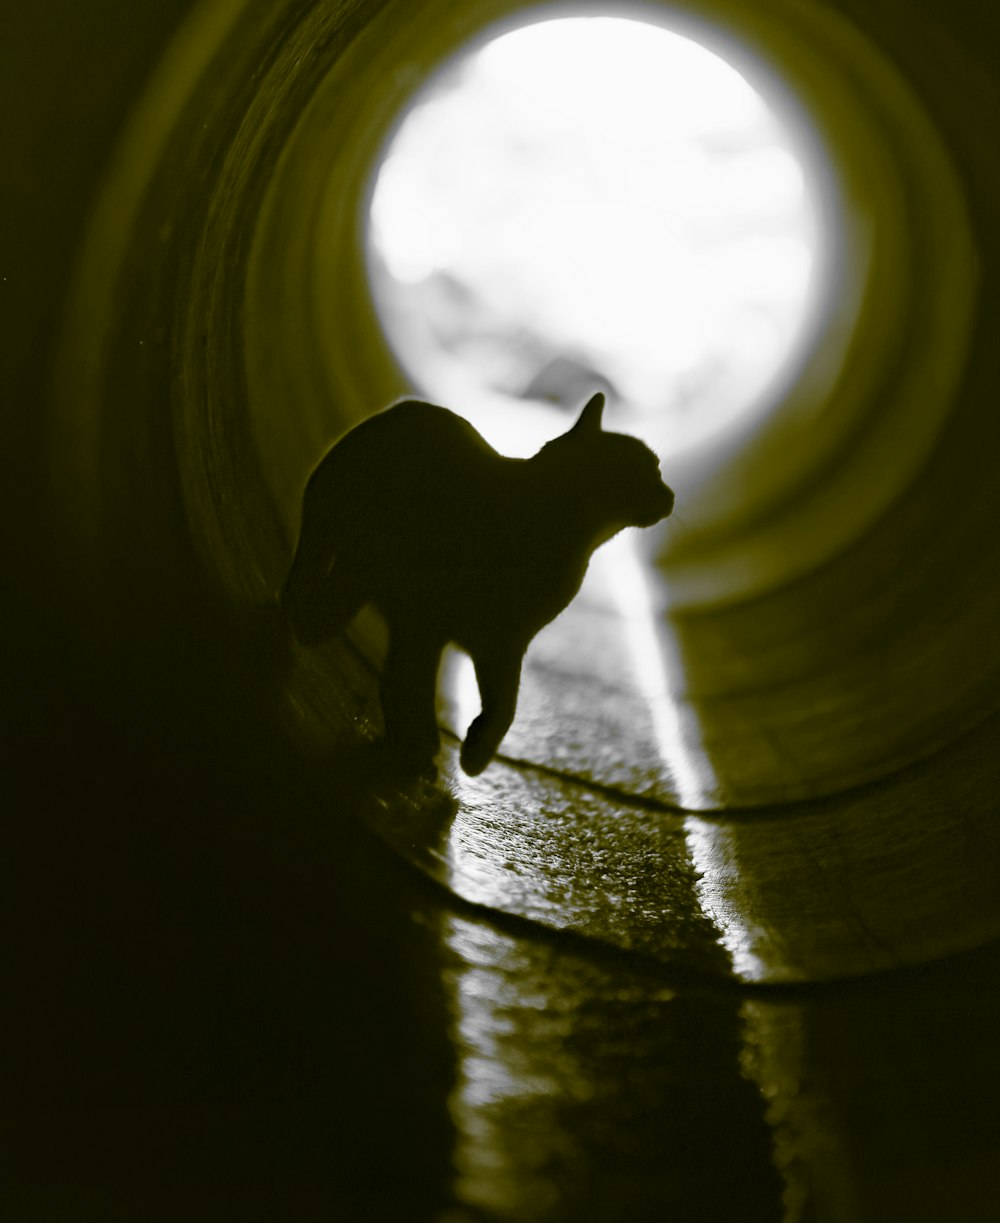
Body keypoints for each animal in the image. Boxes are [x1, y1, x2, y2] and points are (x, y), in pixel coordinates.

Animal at [276, 391, 674, 772]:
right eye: (648, 471)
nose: (670, 495)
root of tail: (401, 409)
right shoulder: (430, 621)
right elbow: (412, 683)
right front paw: (426, 747)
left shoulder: (501, 644)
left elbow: (504, 707)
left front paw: (466, 751)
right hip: (332, 521)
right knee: (315, 578)